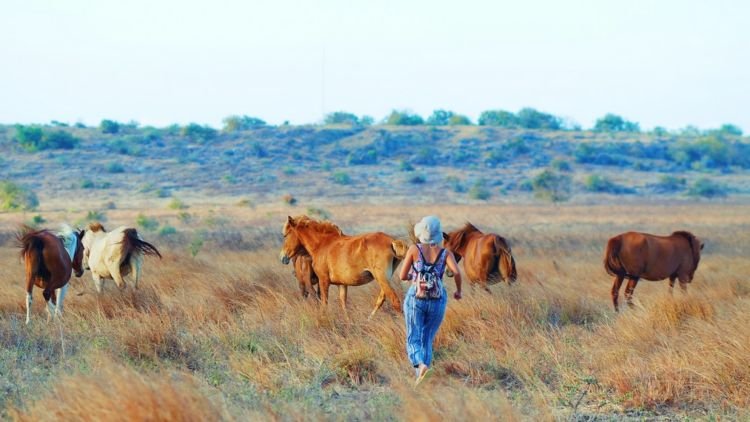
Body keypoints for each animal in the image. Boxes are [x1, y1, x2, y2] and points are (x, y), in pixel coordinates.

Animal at [280, 218, 412, 316]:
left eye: (285, 235)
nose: (282, 257)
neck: (323, 243)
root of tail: (392, 241)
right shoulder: (342, 285)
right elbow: (344, 306)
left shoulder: (323, 281)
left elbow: (324, 303)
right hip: (385, 280)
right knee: (381, 300)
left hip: (381, 278)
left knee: (395, 301)